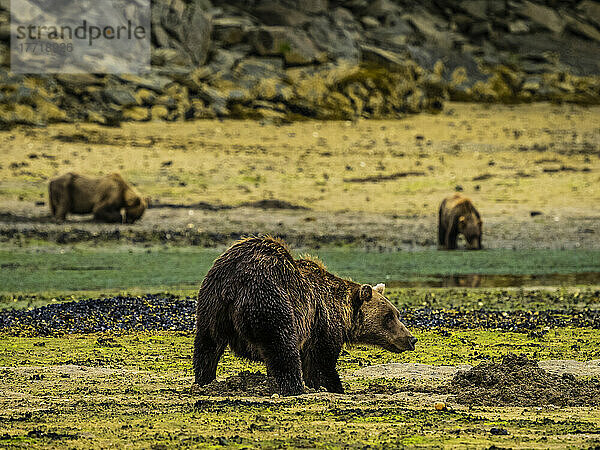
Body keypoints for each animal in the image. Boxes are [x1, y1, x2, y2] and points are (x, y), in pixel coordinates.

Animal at [193, 237, 418, 396]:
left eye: (397, 314)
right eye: (389, 316)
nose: (411, 338)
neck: (343, 313)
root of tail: (234, 283)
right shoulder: (323, 323)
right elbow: (321, 363)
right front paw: (334, 387)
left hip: (211, 305)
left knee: (207, 346)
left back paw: (204, 380)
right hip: (270, 298)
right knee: (282, 345)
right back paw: (295, 387)